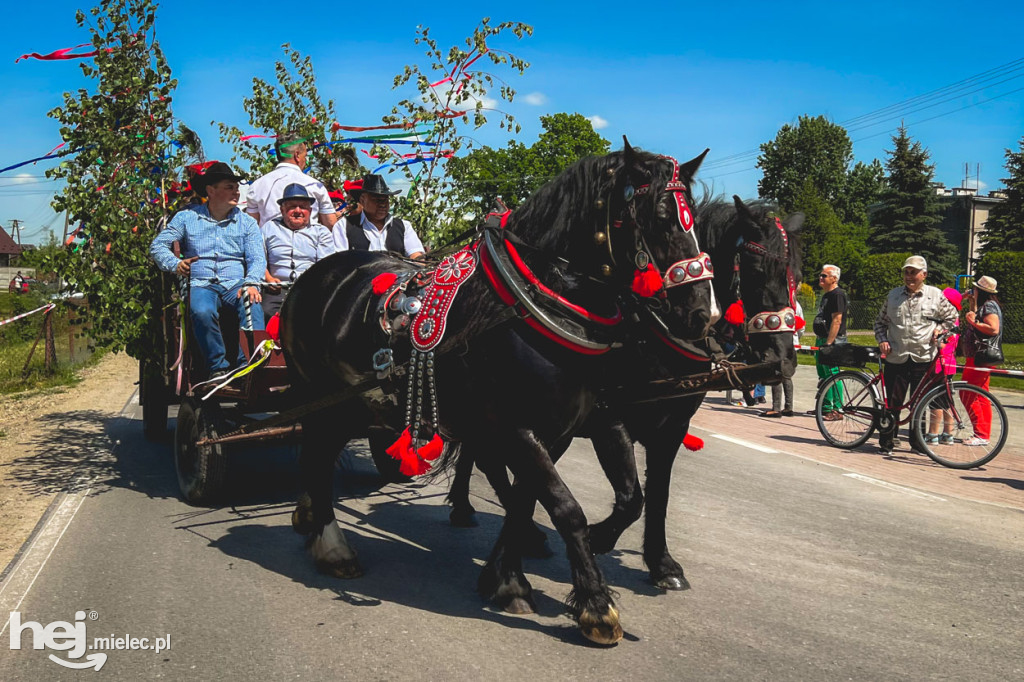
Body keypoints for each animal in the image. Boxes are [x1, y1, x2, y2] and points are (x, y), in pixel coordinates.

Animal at [276, 143, 716, 643]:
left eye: (694, 220)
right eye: (659, 217)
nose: (701, 314)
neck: (531, 307)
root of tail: (315, 273)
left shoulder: (572, 426)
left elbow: (549, 501)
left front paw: (509, 579)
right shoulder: (517, 428)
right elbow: (565, 508)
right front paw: (596, 605)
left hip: (355, 403)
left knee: (320, 454)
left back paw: (311, 519)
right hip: (322, 394)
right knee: (317, 454)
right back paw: (333, 546)